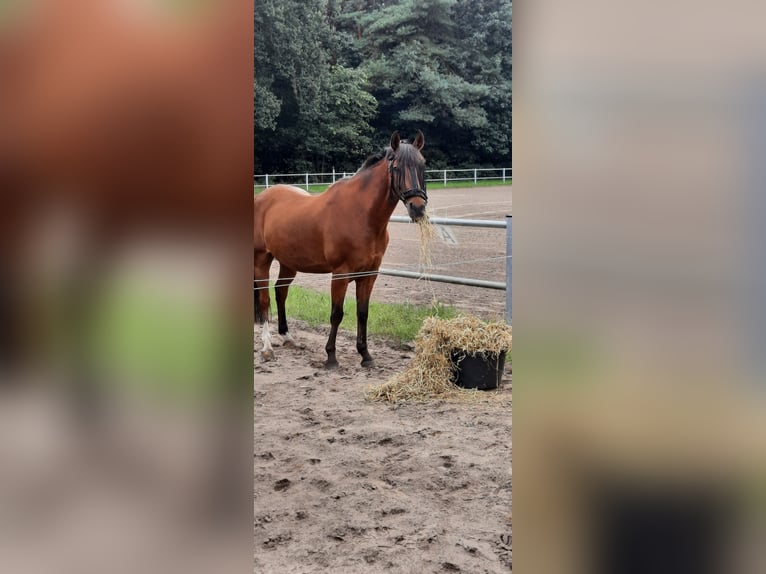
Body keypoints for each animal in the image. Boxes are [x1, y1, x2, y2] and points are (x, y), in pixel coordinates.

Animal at [255, 132, 428, 368]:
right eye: (396, 167)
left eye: (423, 164)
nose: (417, 208)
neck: (361, 214)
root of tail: (261, 198)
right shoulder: (340, 273)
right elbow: (336, 313)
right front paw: (331, 357)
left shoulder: (369, 274)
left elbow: (362, 312)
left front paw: (365, 355)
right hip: (261, 260)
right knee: (264, 299)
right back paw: (267, 347)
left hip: (288, 263)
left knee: (281, 292)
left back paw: (288, 337)